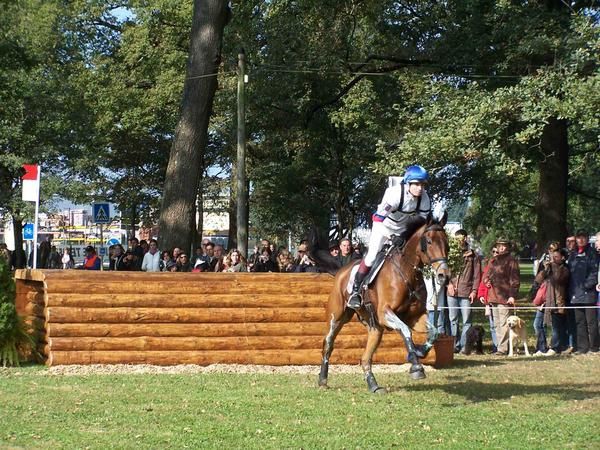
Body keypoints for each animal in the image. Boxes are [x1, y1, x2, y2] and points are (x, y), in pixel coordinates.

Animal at [316, 218, 448, 394]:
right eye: (429, 242)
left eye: (447, 243)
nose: (444, 276)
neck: (406, 272)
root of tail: (342, 270)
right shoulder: (385, 313)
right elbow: (405, 330)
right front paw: (416, 366)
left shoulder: (415, 317)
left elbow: (434, 332)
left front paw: (419, 351)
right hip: (336, 318)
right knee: (328, 344)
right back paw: (323, 379)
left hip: (375, 326)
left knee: (366, 357)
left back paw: (373, 385)